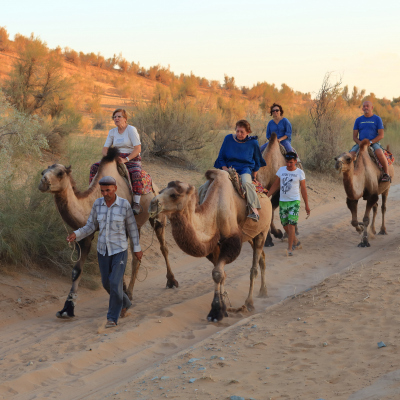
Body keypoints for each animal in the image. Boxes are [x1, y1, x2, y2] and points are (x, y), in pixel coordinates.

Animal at [38, 147, 177, 318]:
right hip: (136, 225)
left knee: (163, 247)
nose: (43, 182)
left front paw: (121, 297)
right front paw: (67, 308)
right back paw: (130, 291)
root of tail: (156, 186)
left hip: (157, 215)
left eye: (60, 173)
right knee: (137, 256)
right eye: (43, 171)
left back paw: (170, 282)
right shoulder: (85, 235)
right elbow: (77, 270)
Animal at [148, 169, 274, 322]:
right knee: (262, 257)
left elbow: (217, 273)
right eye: (160, 190)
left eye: (174, 195)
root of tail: (265, 192)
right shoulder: (214, 247)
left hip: (263, 230)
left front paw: (216, 312)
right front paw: (223, 308)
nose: (152, 204)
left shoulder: (231, 242)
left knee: (254, 268)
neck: (214, 212)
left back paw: (249, 303)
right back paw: (263, 291)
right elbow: (222, 274)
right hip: (250, 236)